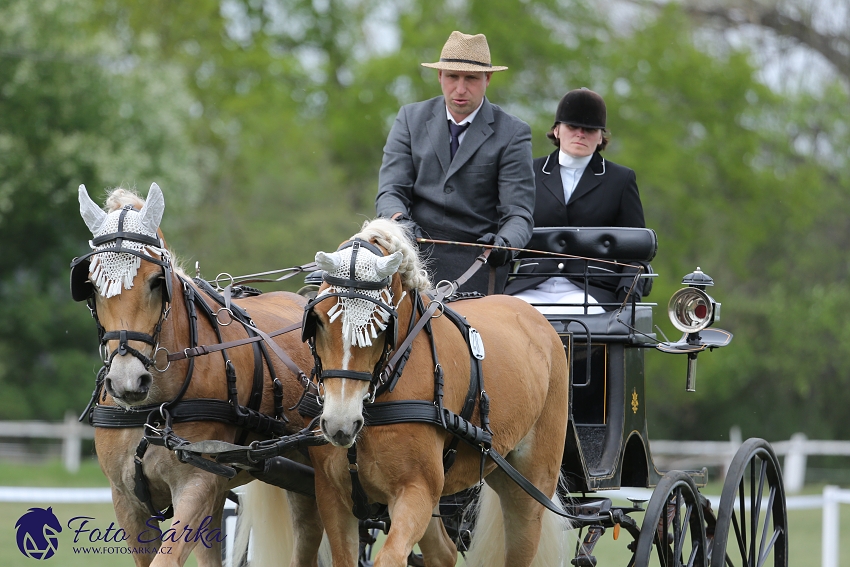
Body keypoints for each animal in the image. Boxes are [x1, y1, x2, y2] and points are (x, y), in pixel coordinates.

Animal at [68, 184, 322, 564]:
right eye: (92, 284)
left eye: (156, 281)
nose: (127, 382)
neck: (151, 410)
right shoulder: (127, 499)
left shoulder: (196, 484)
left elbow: (166, 558)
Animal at [302, 220, 568, 564]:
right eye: (319, 320)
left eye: (381, 324)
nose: (341, 424)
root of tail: (536, 316)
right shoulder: (332, 496)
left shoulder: (417, 490)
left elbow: (390, 558)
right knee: (444, 551)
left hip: (530, 488)